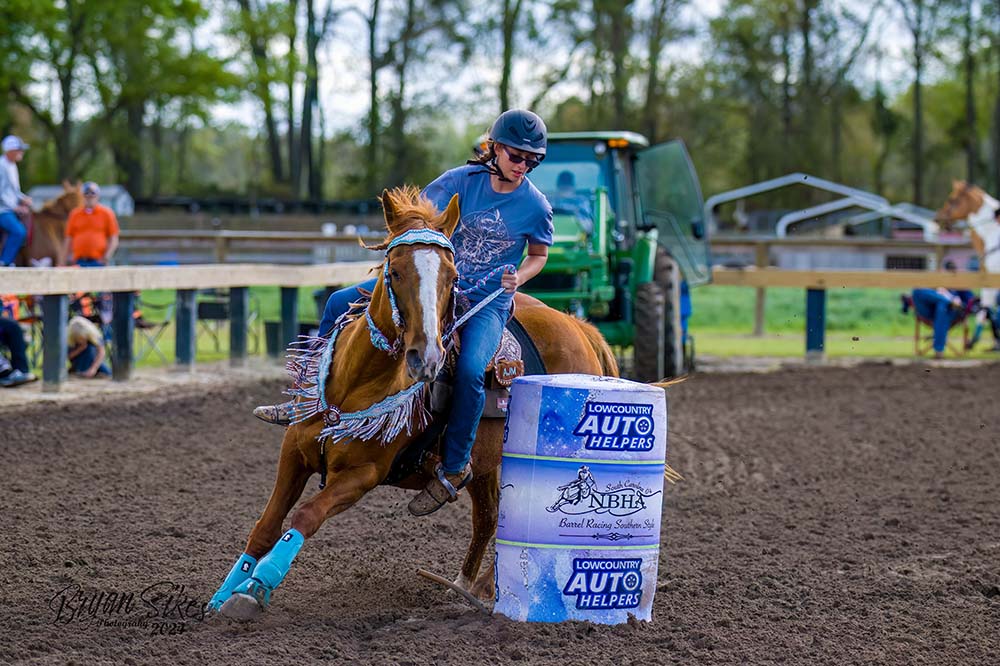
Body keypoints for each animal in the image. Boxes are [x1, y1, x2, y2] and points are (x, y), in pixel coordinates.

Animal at [210, 183, 616, 616]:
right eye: (395, 270)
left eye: (452, 277)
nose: (427, 357)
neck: (355, 385)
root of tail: (579, 327)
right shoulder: (294, 452)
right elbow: (266, 524)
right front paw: (224, 593)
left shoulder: (363, 474)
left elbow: (305, 515)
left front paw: (256, 587)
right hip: (486, 465)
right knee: (488, 519)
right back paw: (465, 587)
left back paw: (493, 590)